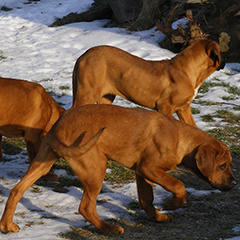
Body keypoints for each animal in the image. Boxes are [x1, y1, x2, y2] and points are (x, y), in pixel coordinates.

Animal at [0, 104, 236, 234]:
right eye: (222, 166)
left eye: (230, 165)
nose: (234, 183)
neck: (182, 139)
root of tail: (58, 127)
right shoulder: (149, 168)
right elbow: (178, 185)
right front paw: (172, 204)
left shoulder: (141, 171)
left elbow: (146, 199)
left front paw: (158, 217)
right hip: (96, 165)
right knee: (86, 207)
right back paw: (109, 229)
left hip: (43, 161)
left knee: (16, 191)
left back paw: (7, 225)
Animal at [72, 38, 224, 127]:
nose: (224, 63)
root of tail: (83, 56)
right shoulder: (165, 106)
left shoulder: (184, 108)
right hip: (87, 94)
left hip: (106, 97)